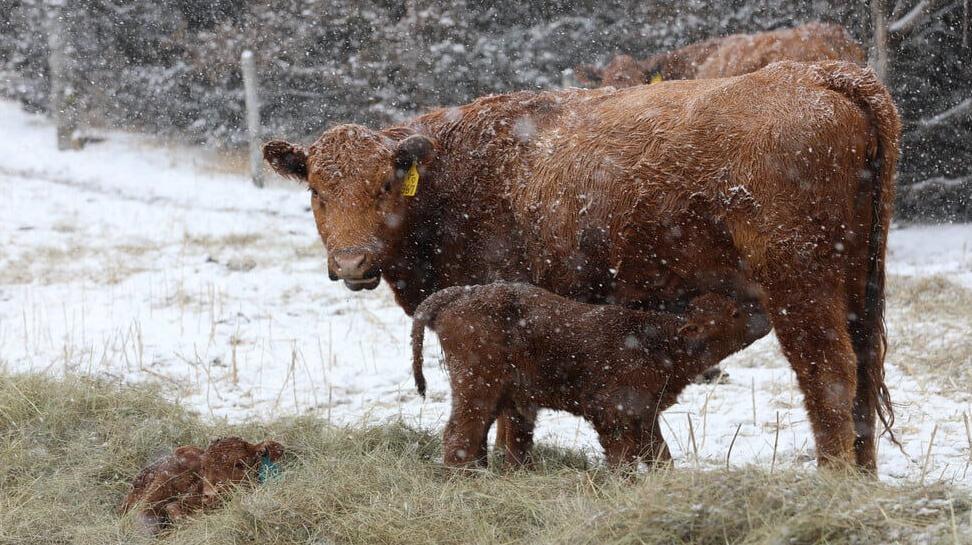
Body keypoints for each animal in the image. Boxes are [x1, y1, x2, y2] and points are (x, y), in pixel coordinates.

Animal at [410, 283, 749, 469]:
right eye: (733, 314)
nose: (754, 313)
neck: (657, 343)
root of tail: (459, 293)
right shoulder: (614, 412)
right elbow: (623, 459)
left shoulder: (645, 413)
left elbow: (659, 455)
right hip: (476, 385)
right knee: (459, 435)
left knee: (486, 437)